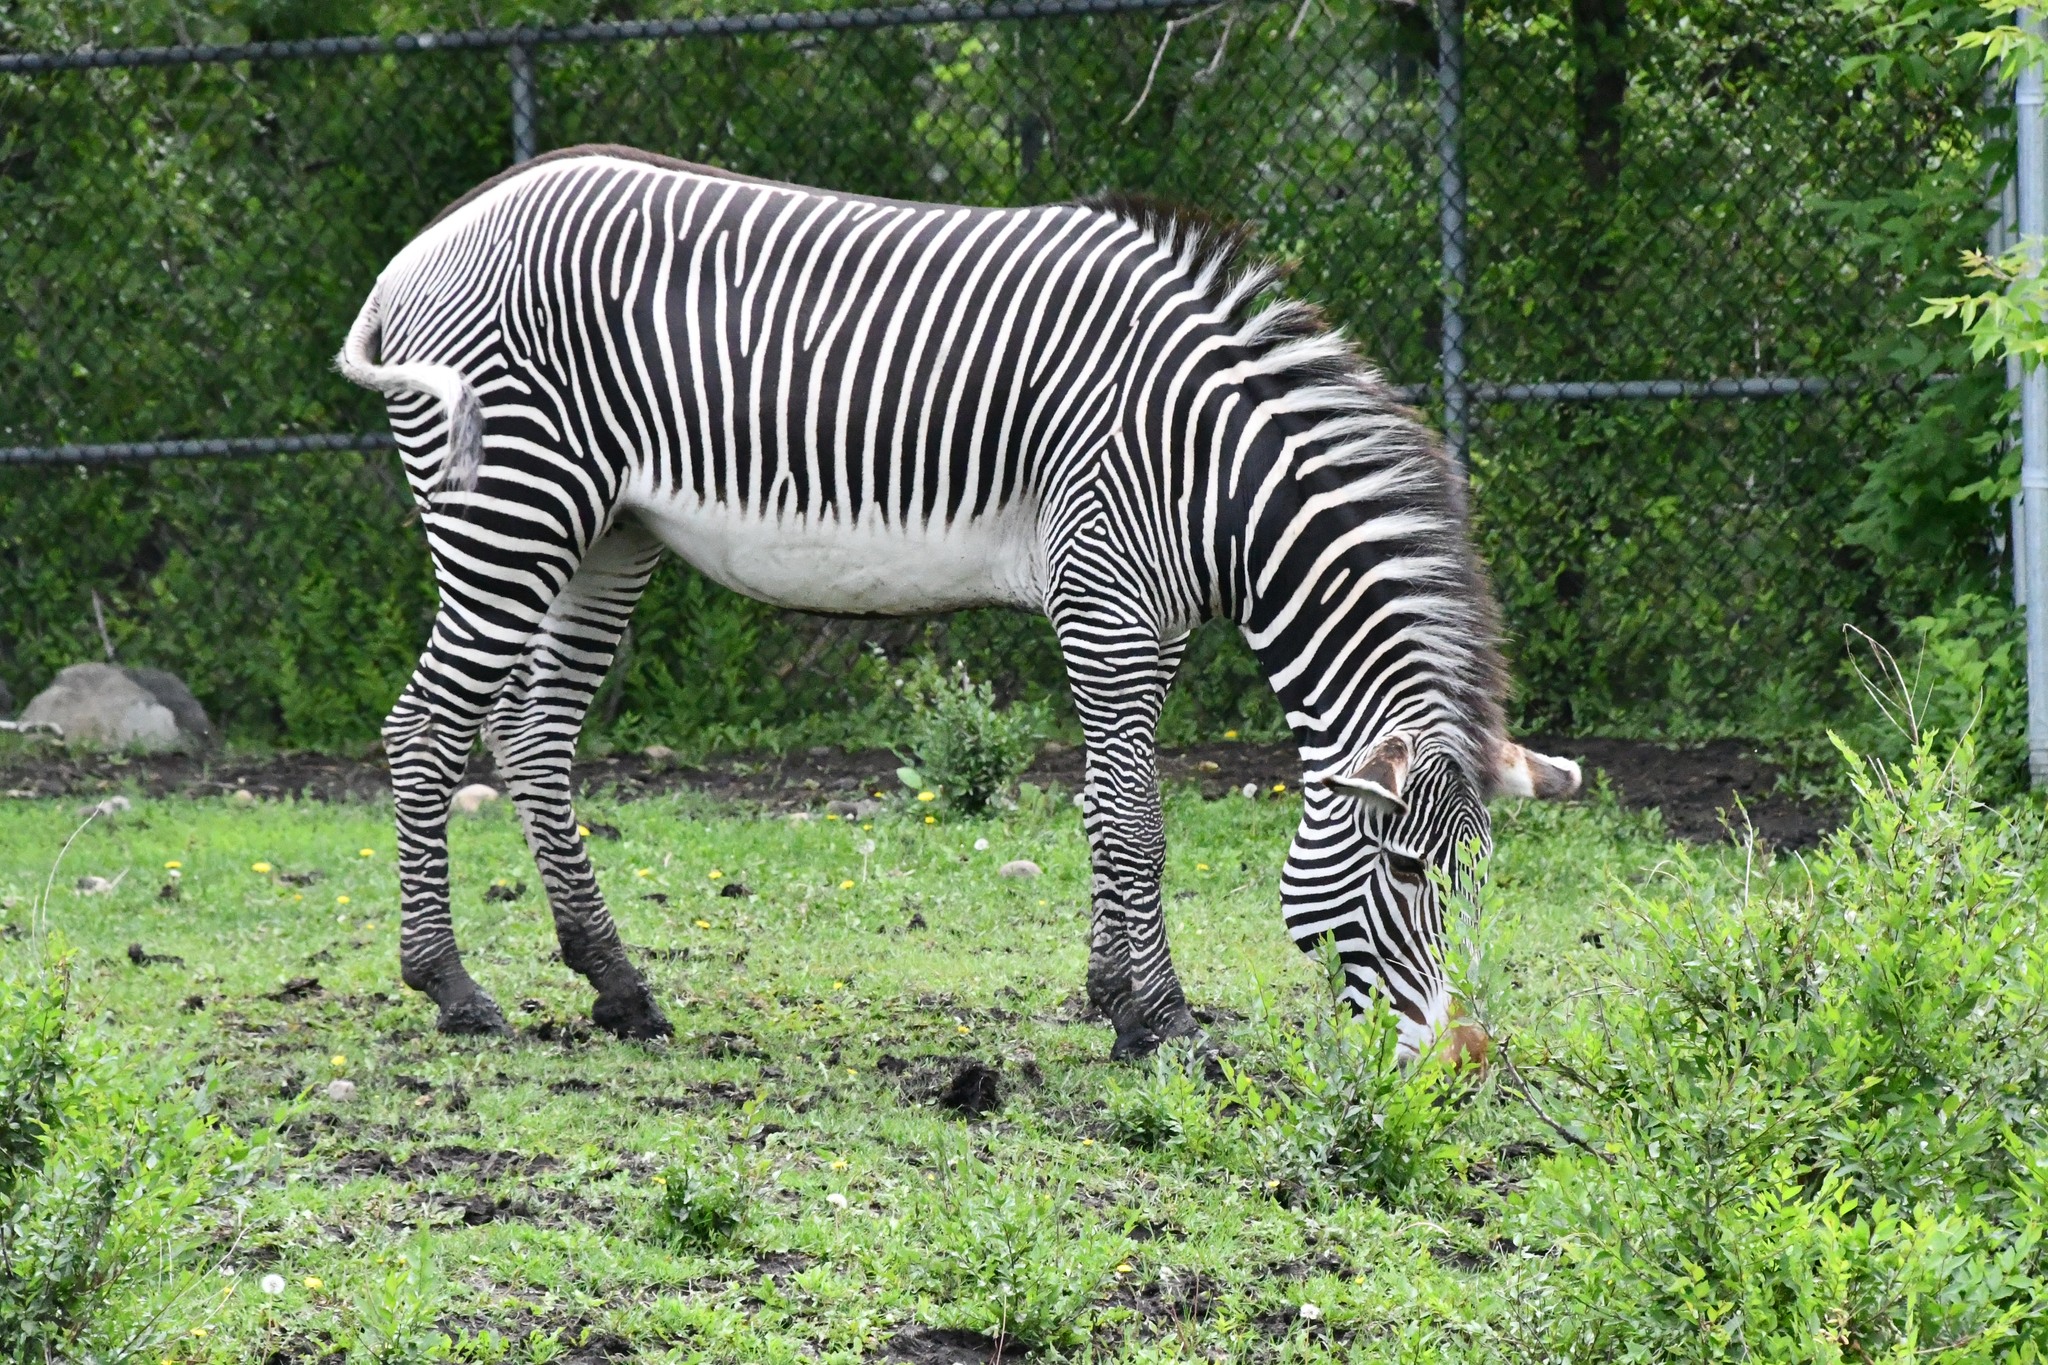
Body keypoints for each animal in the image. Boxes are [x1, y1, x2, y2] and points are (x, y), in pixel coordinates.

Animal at [337, 144, 1581, 1059]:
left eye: (1478, 879)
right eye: (1408, 871)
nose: (1448, 1061)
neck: (1211, 467)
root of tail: (421, 248)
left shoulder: (1149, 623)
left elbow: (1100, 807)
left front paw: (1113, 1002)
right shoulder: (1105, 600)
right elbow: (1138, 824)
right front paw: (1167, 1027)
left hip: (607, 533)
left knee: (528, 733)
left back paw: (618, 987)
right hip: (513, 504)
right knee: (426, 728)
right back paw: (452, 988)